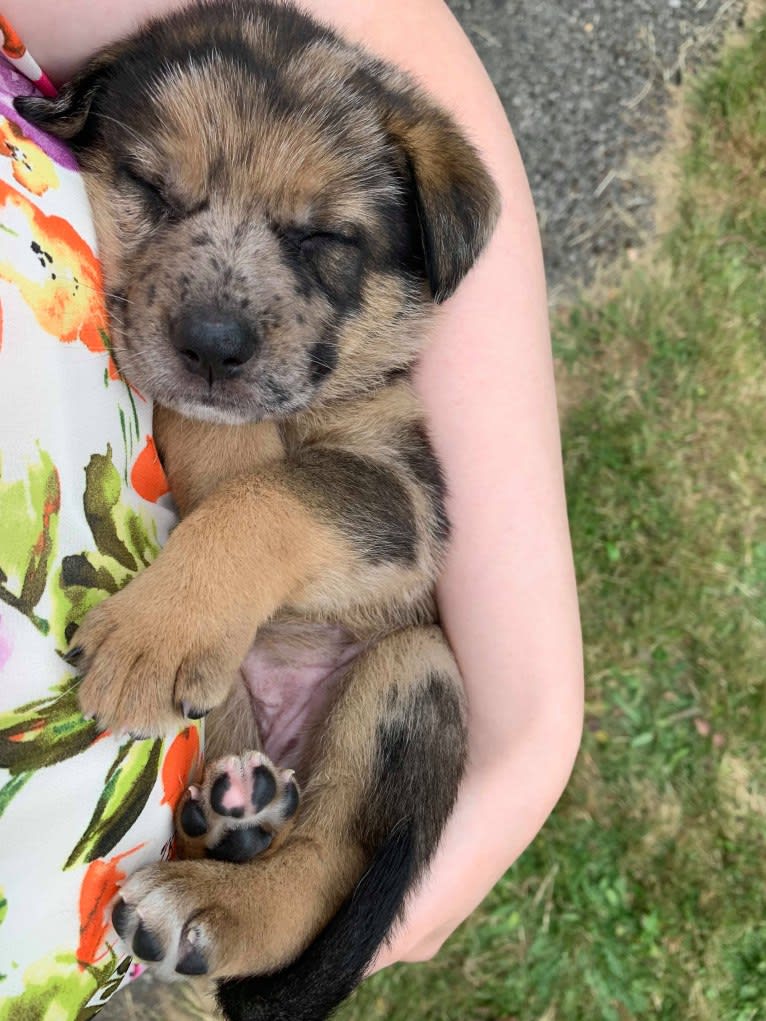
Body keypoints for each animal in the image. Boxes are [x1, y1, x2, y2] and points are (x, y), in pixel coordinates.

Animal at [16, 1, 498, 1012]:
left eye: (323, 239)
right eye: (153, 188)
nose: (213, 344)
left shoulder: (405, 503)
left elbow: (269, 496)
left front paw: (153, 634)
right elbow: (227, 458)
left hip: (413, 674)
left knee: (323, 863)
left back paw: (214, 906)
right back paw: (236, 819)